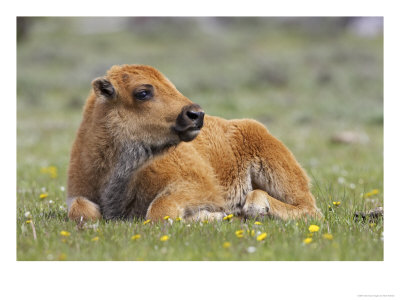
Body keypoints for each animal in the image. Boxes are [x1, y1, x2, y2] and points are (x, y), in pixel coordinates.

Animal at [67, 64, 320, 221]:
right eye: (143, 92)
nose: (196, 114)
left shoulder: (199, 186)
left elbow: (160, 211)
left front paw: (212, 217)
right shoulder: (77, 192)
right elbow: (80, 210)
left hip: (278, 173)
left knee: (309, 209)